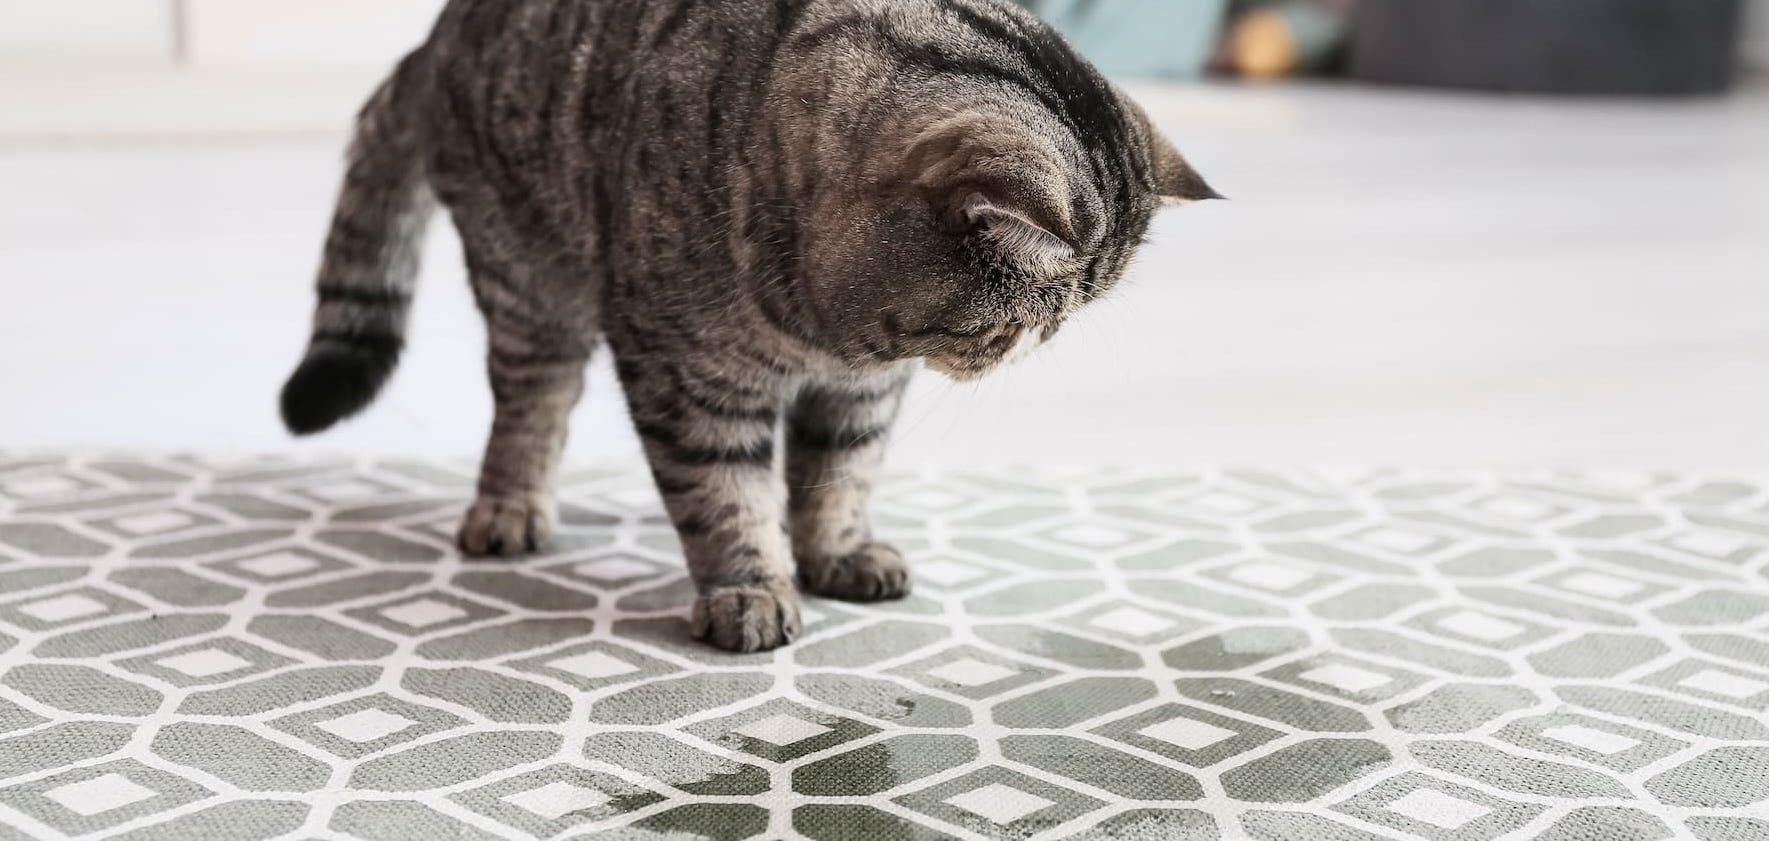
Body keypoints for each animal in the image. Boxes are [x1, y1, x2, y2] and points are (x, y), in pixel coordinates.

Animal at [279, 0, 1217, 651]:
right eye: (1023, 320)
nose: (1036, 345)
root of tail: (432, 38)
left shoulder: (861, 391)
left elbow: (839, 477)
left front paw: (838, 555)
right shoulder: (689, 379)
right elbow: (724, 494)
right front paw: (750, 589)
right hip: (528, 288)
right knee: (530, 410)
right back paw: (509, 509)